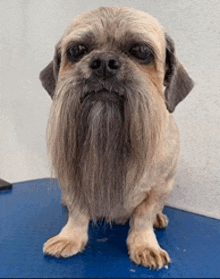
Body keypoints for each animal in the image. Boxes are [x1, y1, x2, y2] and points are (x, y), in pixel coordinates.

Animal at [40, 6, 194, 272]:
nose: (104, 62)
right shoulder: (73, 181)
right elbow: (77, 213)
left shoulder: (161, 186)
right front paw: (69, 237)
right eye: (77, 50)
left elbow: (143, 216)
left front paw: (145, 245)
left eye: (141, 51)